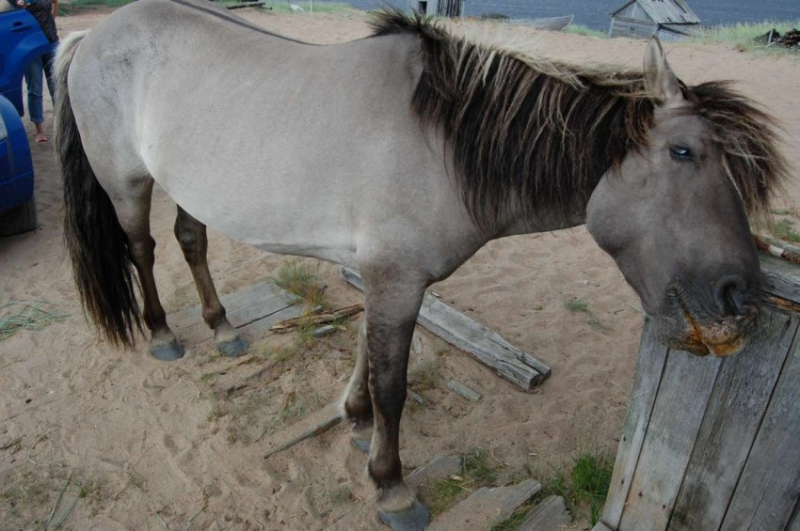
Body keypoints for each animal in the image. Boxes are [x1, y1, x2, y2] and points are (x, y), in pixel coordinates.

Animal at [54, 2, 788, 528]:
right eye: (685, 153)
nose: (741, 296)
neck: (441, 142)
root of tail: (91, 36)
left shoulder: (380, 277)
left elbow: (366, 357)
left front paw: (353, 423)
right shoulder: (397, 281)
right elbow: (393, 385)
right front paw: (391, 487)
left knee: (190, 239)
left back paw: (223, 325)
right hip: (127, 183)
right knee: (144, 250)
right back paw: (163, 333)